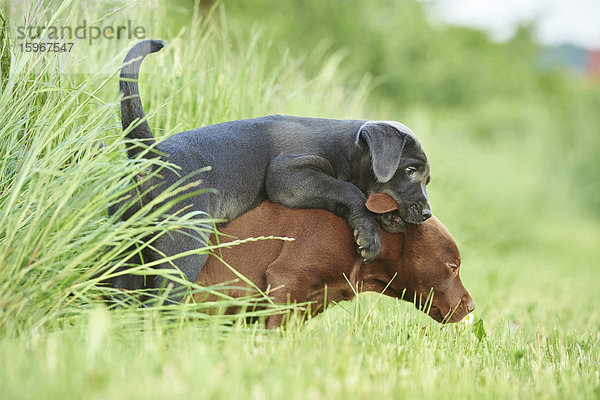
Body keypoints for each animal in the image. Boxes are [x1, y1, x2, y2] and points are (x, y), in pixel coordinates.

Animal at [112, 39, 432, 292]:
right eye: (410, 171)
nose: (428, 214)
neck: (346, 149)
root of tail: (151, 156)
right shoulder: (287, 176)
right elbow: (348, 190)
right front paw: (368, 236)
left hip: (126, 247)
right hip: (186, 241)